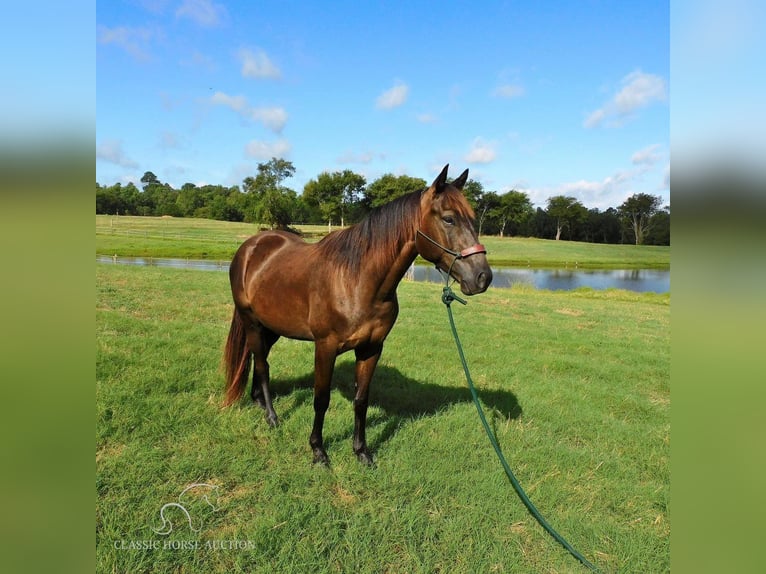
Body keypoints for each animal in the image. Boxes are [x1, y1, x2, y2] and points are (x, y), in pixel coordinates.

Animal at [225, 164, 496, 466]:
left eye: (473, 218)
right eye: (449, 219)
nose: (482, 276)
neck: (357, 281)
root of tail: (251, 247)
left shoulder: (371, 348)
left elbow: (361, 400)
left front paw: (361, 451)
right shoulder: (325, 347)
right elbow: (321, 400)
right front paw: (319, 451)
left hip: (270, 327)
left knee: (258, 359)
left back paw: (259, 402)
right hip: (252, 322)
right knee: (261, 365)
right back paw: (272, 417)